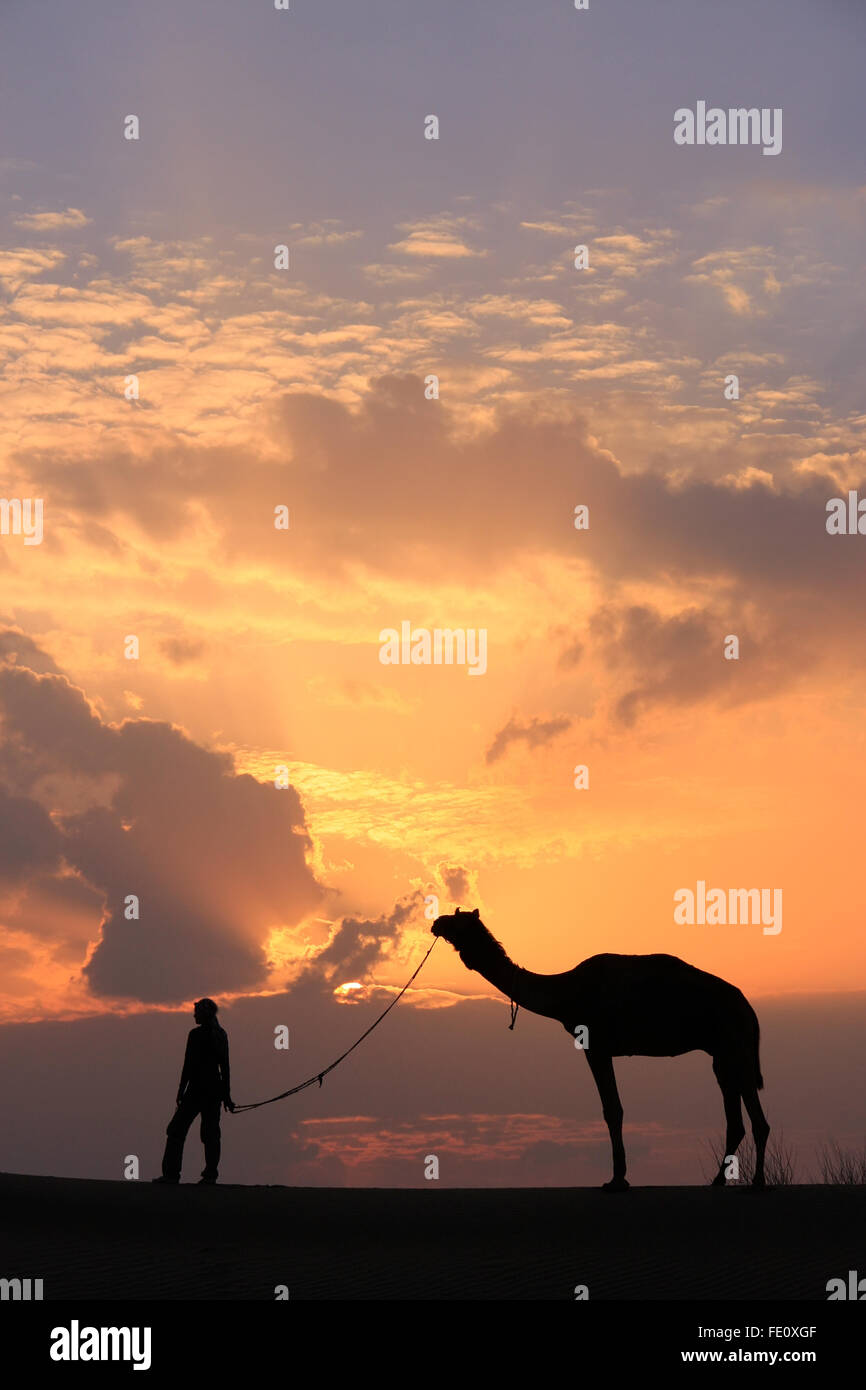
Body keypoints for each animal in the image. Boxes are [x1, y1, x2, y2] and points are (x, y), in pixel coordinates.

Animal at [433, 906, 772, 1189]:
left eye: (458, 921)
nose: (436, 922)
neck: (565, 992)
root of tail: (748, 1008)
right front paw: (619, 1177)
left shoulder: (595, 1046)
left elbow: (612, 1109)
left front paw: (617, 1180)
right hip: (724, 1054)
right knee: (739, 1118)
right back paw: (721, 1180)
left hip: (732, 1044)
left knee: (753, 1119)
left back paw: (756, 1182)